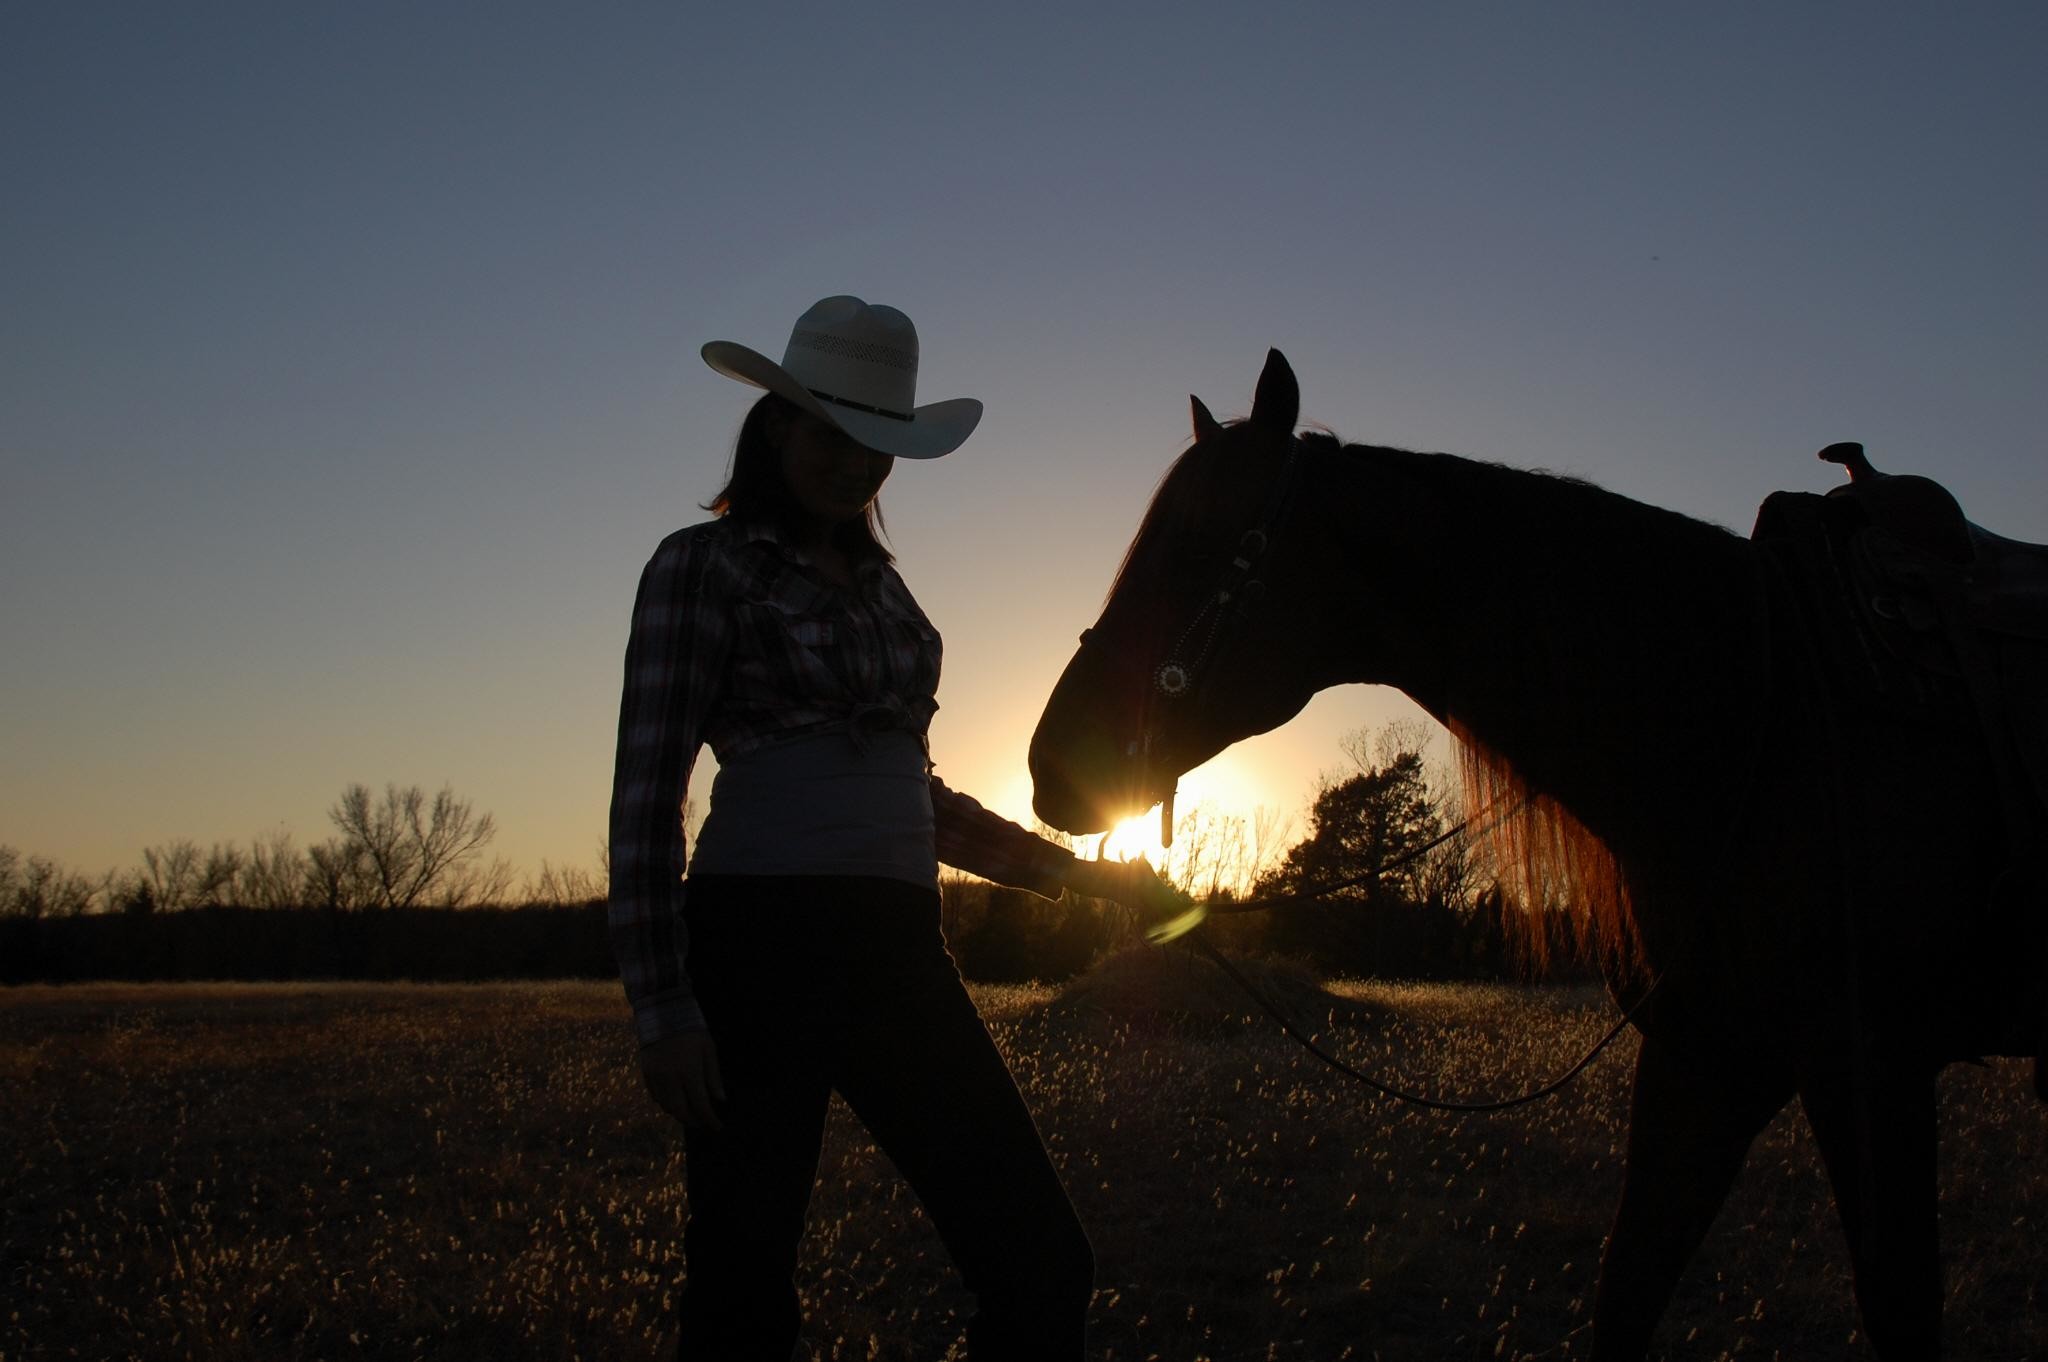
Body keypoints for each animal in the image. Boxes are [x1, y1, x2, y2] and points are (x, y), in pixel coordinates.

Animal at [1032, 350, 2039, 1359]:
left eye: (1198, 544)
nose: (1050, 763)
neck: (1755, 711)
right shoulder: (1706, 1062)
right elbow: (1626, 1289)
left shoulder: (1871, 1071)